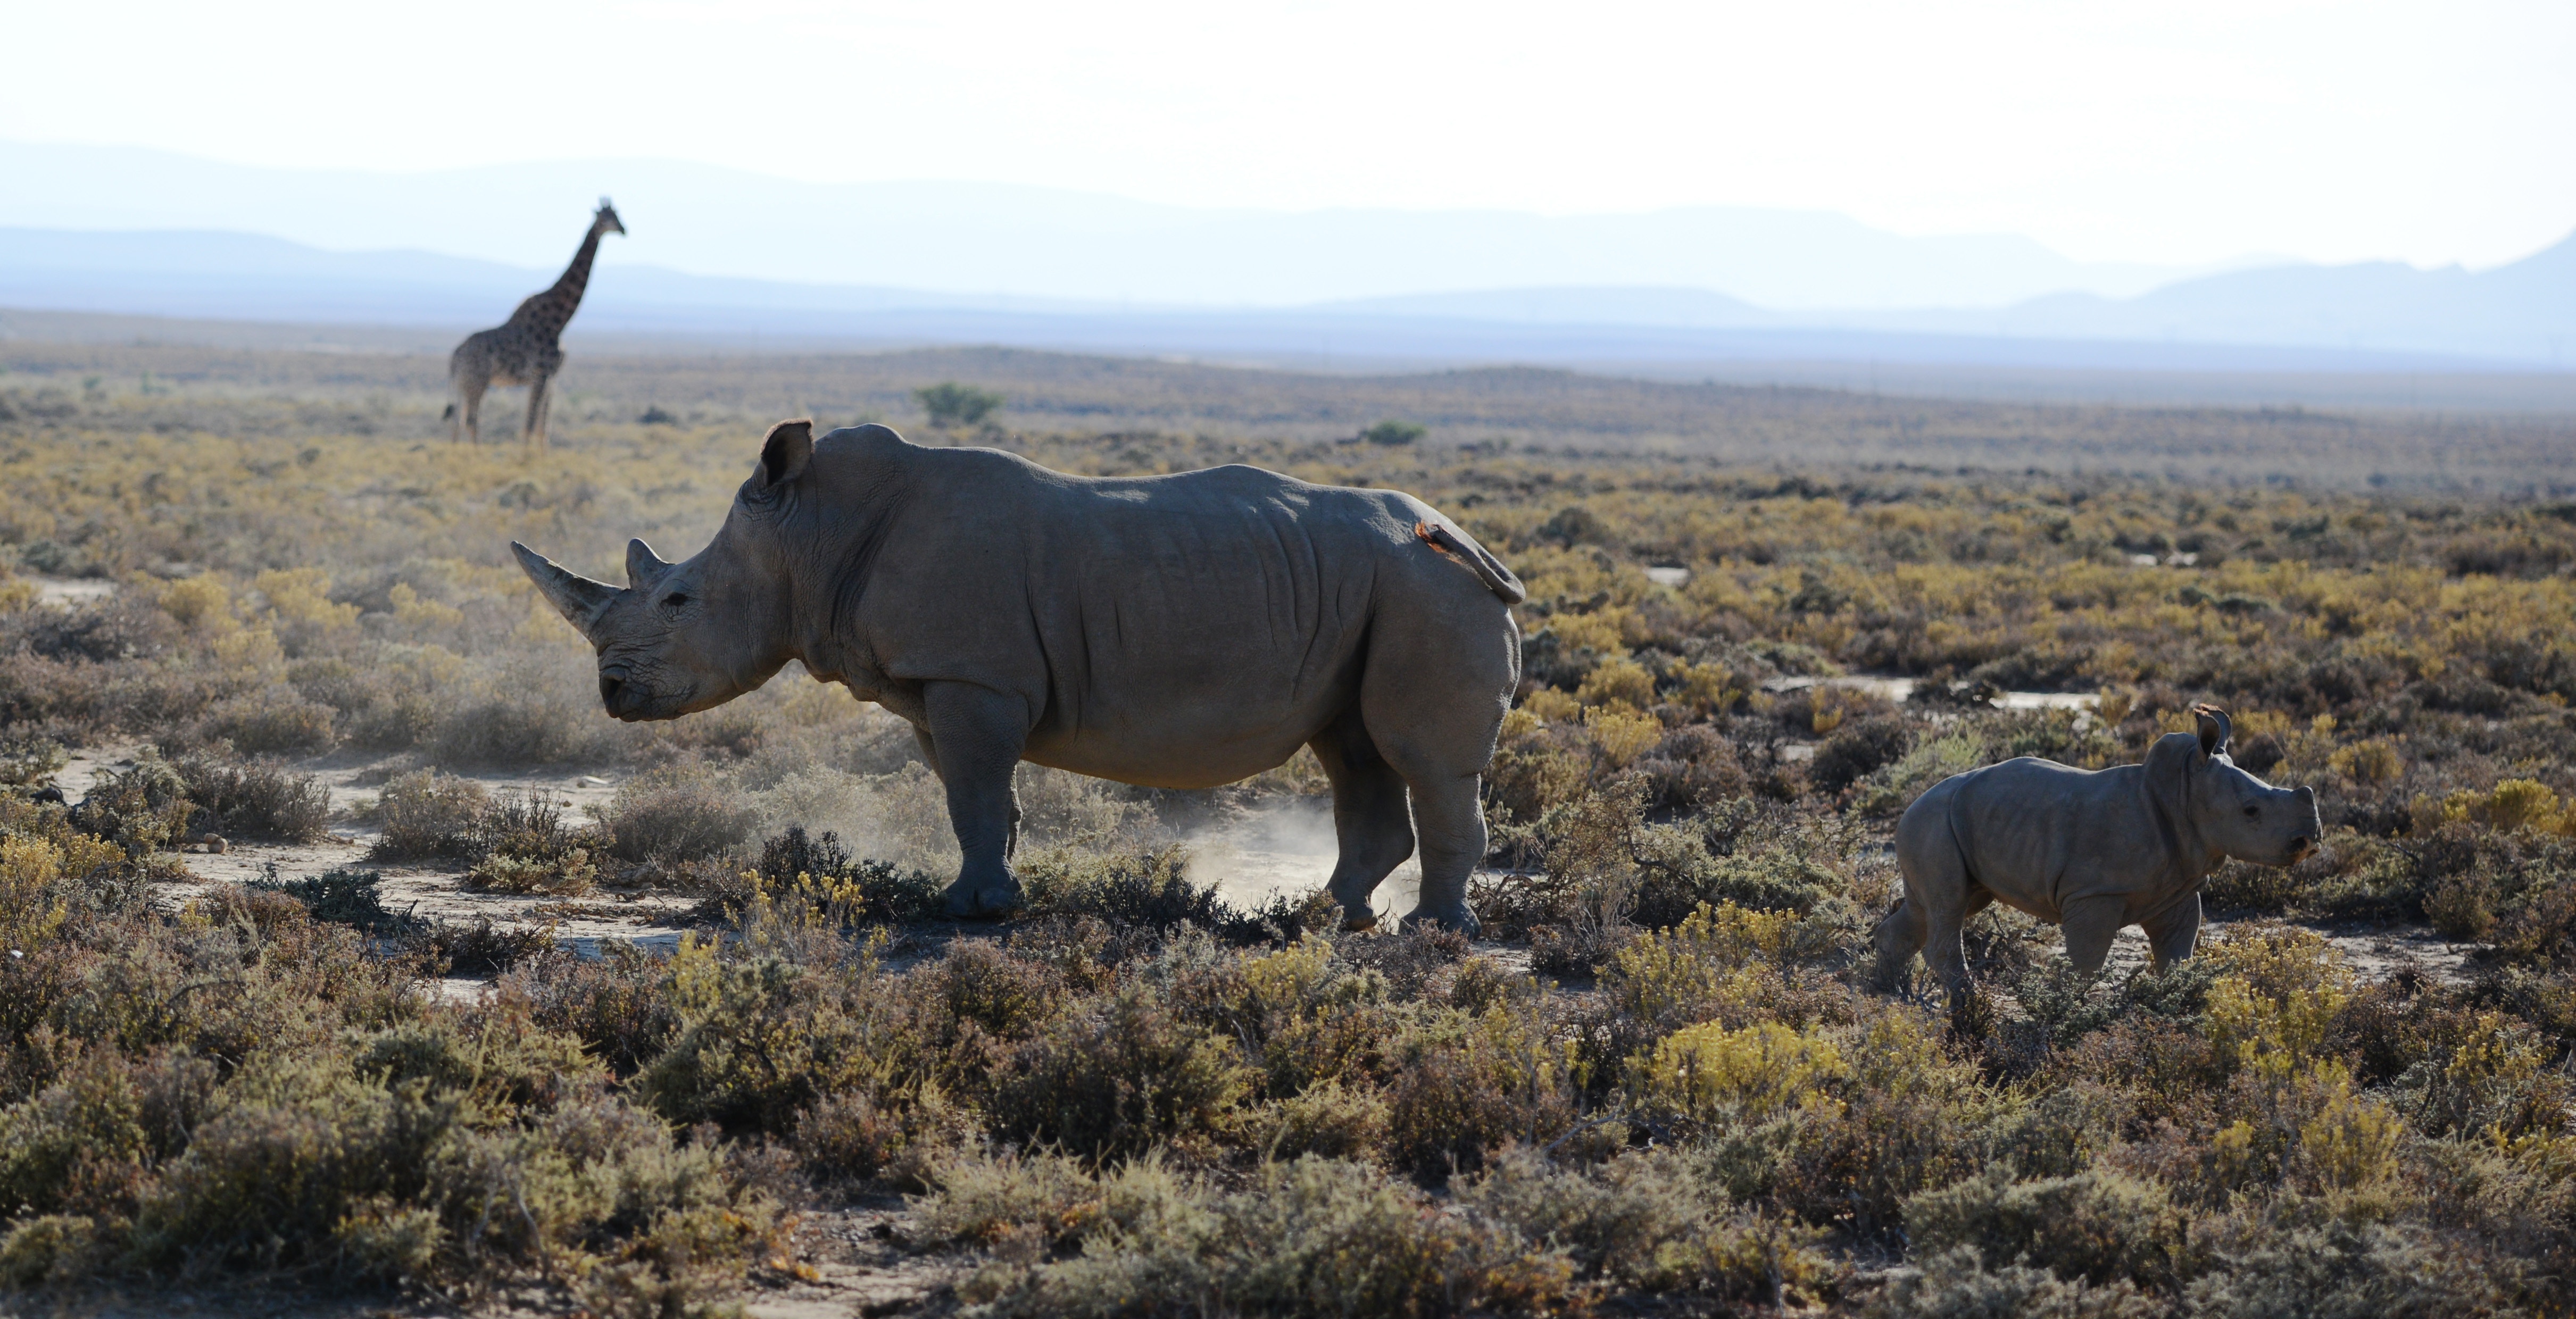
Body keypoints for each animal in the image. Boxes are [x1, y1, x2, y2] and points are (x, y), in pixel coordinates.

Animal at [445, 199, 625, 448]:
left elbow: (543, 428)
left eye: (618, 215)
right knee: (471, 420)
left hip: (463, 384)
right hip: (477, 382)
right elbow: (529, 426)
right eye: (607, 218)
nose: (624, 229)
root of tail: (454, 358)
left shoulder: (552, 377)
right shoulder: (541, 374)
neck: (559, 320)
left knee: (458, 420)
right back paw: (474, 454)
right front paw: (525, 457)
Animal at [511, 419, 1525, 930]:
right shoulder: (944, 687)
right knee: (1351, 750)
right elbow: (976, 799)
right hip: (1385, 591)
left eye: (677, 599)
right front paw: (981, 897)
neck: (811, 532)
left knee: (1420, 758)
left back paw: (1430, 935)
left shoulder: (974, 679)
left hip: (1426, 590)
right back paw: (1324, 920)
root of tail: (1466, 539)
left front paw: (973, 912)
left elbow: (972, 793)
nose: (612, 695)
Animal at [1872, 705, 2321, 995]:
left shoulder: (2176, 890)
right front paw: (2071, 1007)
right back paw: (1967, 1005)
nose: (2310, 841)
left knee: (1941, 906)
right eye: (2251, 811)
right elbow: (2087, 962)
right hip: (1933, 822)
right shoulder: (2096, 892)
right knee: (1948, 906)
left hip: (1946, 823)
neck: (2183, 791)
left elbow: (2177, 954)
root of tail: (1911, 804)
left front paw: (2178, 999)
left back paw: (1887, 990)